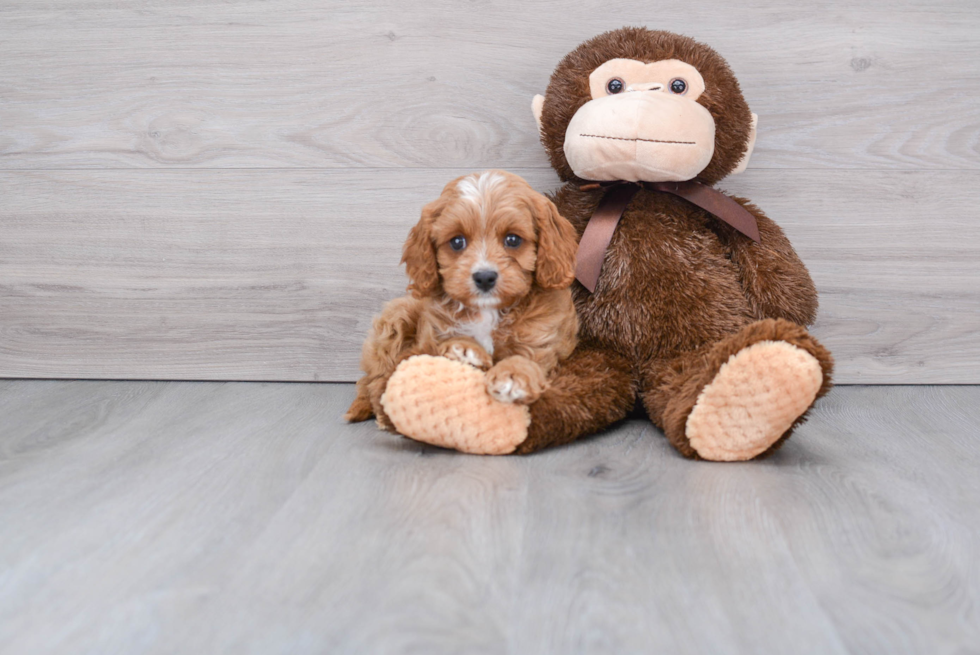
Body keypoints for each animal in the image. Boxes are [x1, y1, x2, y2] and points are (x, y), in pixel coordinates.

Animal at [344, 169, 580, 430]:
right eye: (457, 242)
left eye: (513, 240)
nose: (485, 277)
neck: (488, 311)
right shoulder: (426, 342)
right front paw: (464, 350)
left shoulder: (541, 342)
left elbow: (527, 359)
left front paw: (513, 375)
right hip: (396, 316)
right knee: (372, 379)